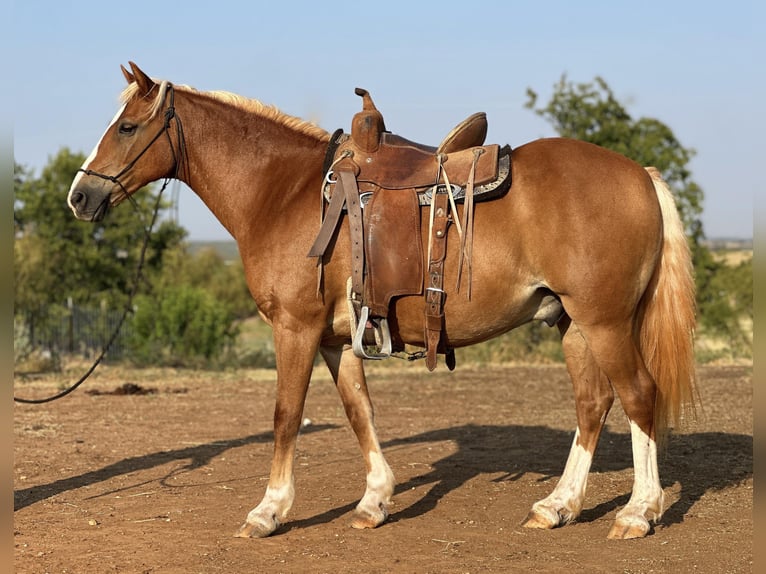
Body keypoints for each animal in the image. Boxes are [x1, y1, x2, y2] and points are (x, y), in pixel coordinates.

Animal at [69, 62, 700, 540]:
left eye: (127, 127)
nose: (80, 196)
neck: (286, 193)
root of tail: (640, 175)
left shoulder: (295, 329)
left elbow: (286, 416)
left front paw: (269, 510)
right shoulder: (336, 339)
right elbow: (359, 412)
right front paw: (375, 500)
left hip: (606, 322)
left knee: (639, 396)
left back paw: (638, 512)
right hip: (572, 323)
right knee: (593, 404)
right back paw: (557, 506)